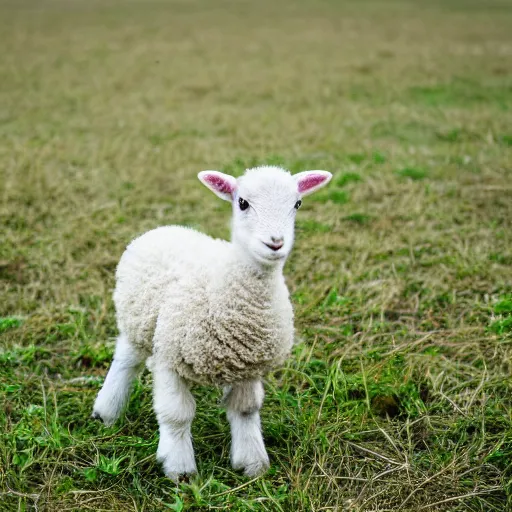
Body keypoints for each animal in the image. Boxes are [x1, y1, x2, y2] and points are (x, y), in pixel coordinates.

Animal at [92, 164, 332, 480]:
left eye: (297, 203)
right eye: (242, 202)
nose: (275, 243)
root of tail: (168, 228)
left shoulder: (248, 367)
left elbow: (245, 410)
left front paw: (252, 465)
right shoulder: (169, 356)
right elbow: (176, 414)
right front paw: (180, 470)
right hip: (139, 324)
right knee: (125, 361)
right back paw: (106, 413)